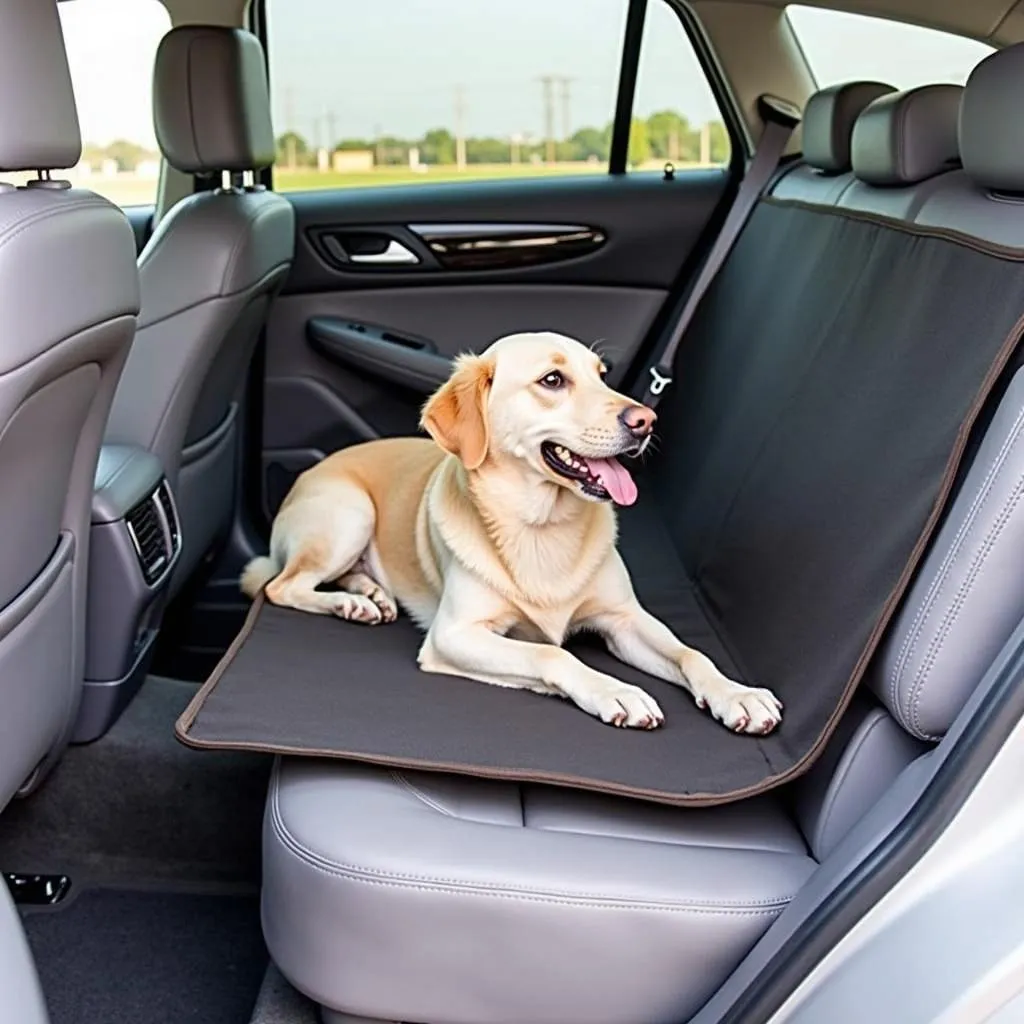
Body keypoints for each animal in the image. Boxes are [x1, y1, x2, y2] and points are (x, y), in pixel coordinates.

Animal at [241, 331, 782, 733]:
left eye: (602, 376)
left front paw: (738, 694)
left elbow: (692, 653)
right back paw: (346, 601)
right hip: (350, 515)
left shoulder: (624, 620)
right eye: (552, 379)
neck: (542, 525)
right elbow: (551, 653)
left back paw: (367, 595)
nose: (646, 419)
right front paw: (614, 690)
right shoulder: (454, 635)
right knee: (282, 585)